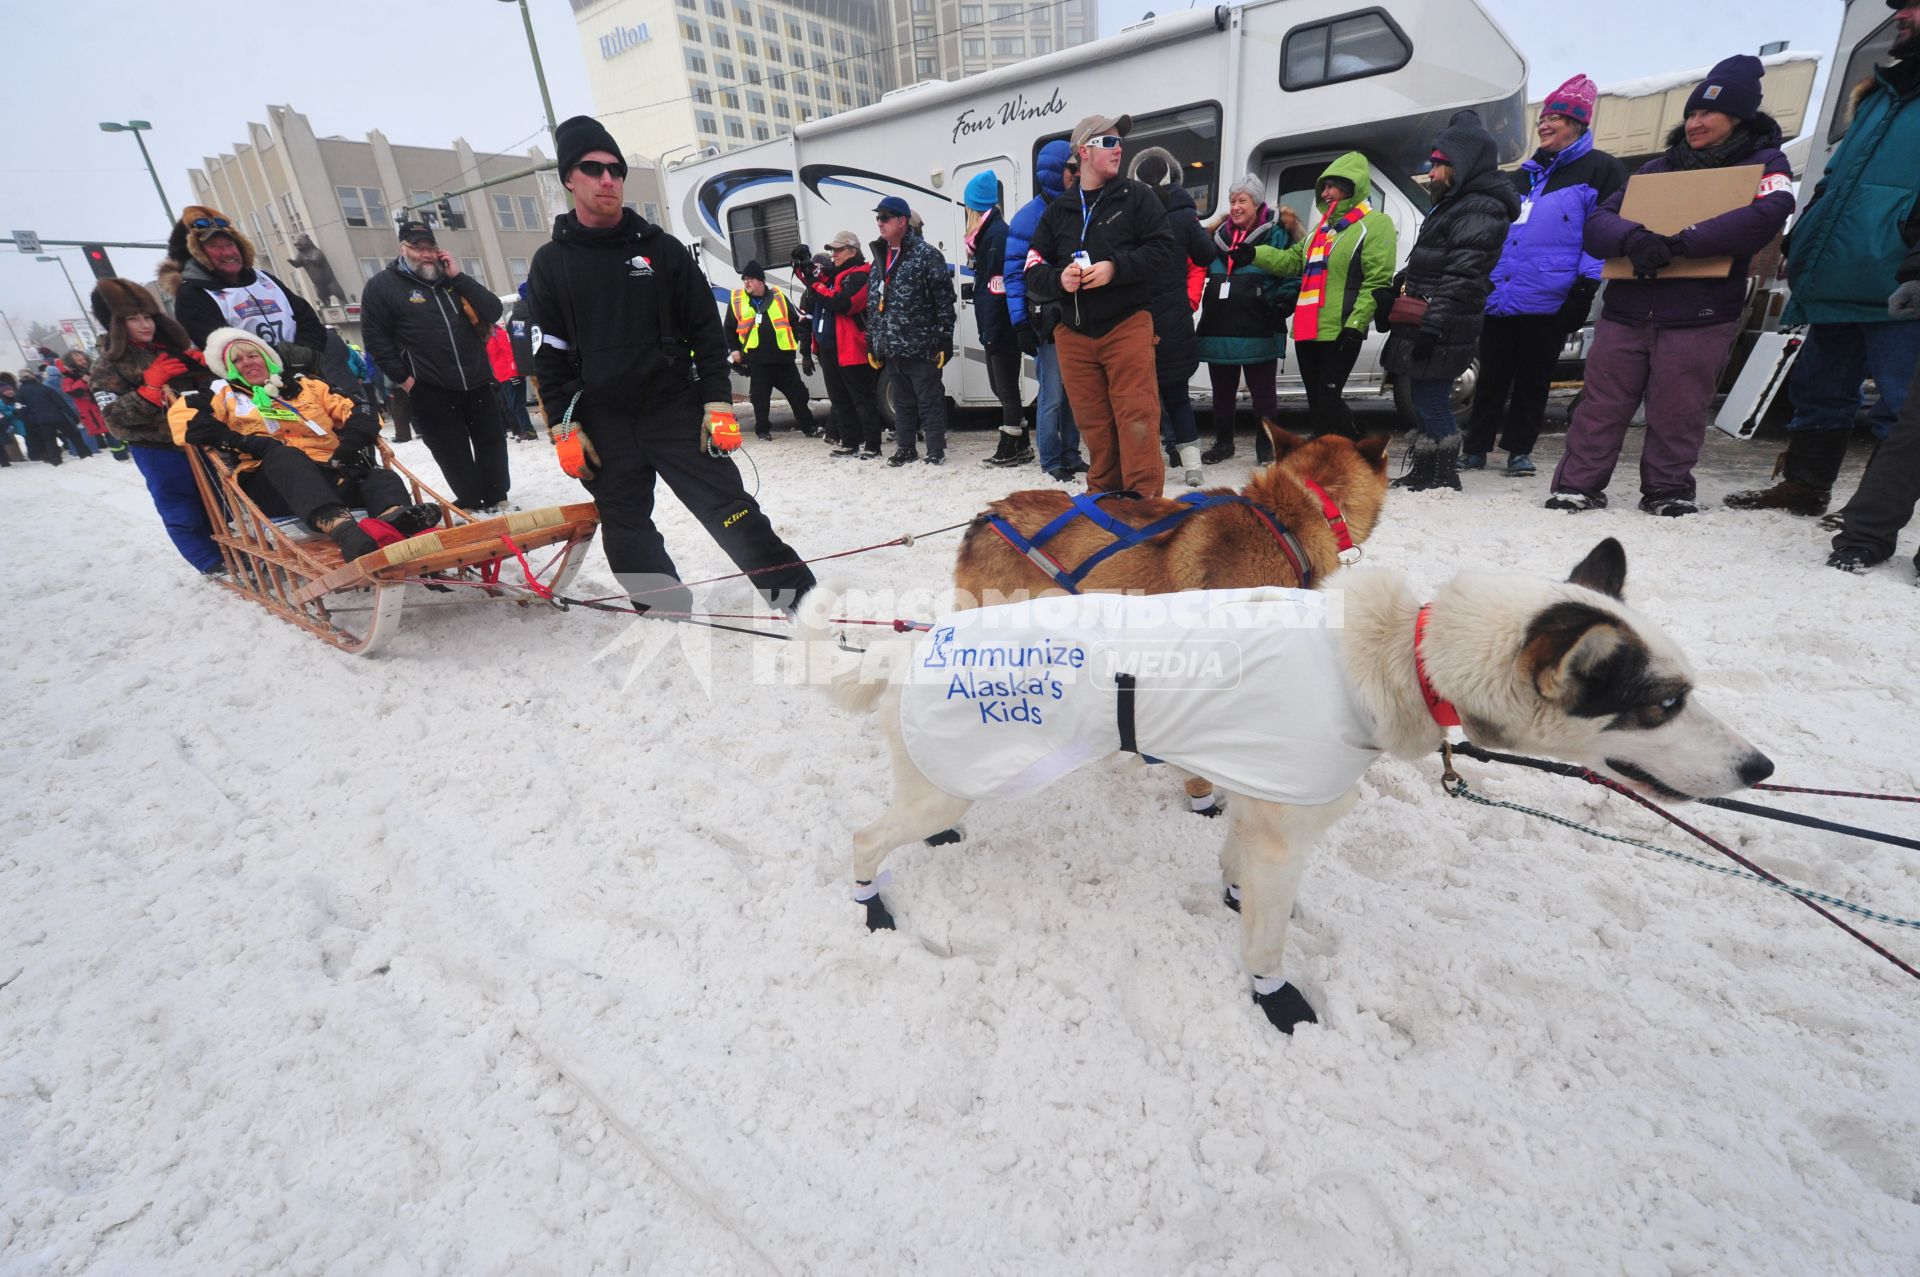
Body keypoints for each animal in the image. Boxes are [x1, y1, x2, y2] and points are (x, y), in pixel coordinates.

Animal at [794, 533, 1766, 1029]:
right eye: (1663, 703)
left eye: (1689, 687)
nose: (1761, 766)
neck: (1393, 655)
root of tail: (910, 643)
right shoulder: (1282, 832)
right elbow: (1264, 944)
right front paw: (1275, 994)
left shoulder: (1260, 811)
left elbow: (1240, 875)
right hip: (944, 780)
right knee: (864, 835)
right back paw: (870, 901)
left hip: (955, 776)